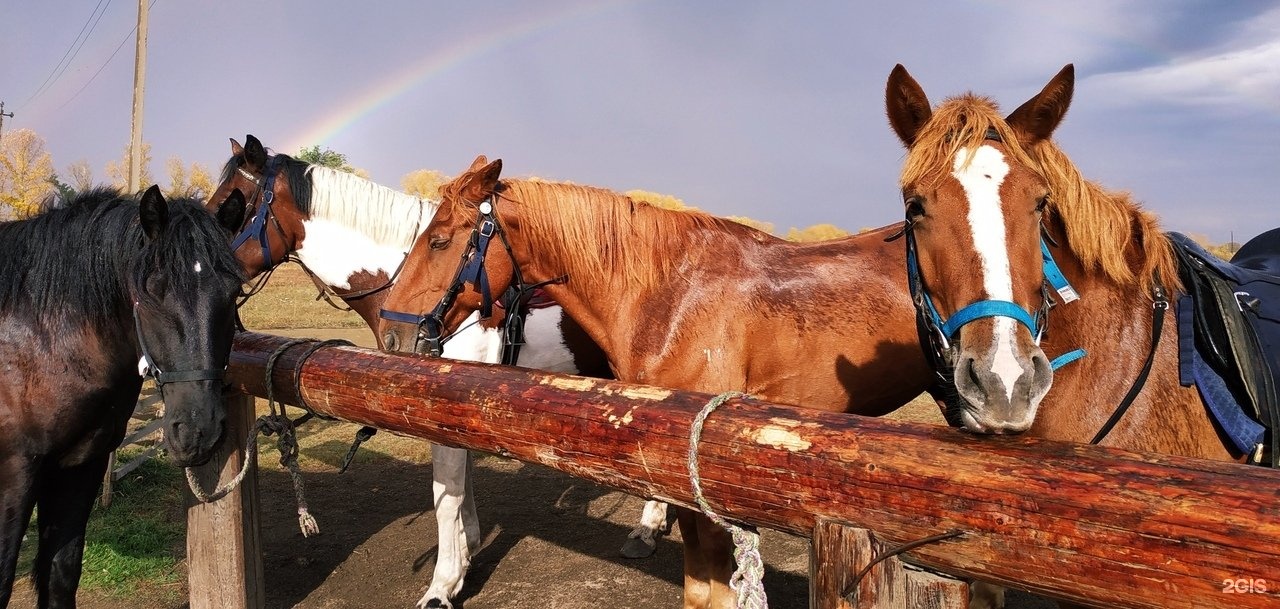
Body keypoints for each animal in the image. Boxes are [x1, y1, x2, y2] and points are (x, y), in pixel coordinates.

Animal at [0, 186, 247, 609]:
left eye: (234, 293)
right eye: (151, 292)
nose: (199, 430)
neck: (42, 338)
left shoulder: (82, 464)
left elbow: (61, 574)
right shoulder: (13, 475)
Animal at [204, 136, 670, 609]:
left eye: (228, 207)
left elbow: (445, 498)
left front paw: (442, 585)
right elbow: (461, 492)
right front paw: (466, 556)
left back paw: (647, 528)